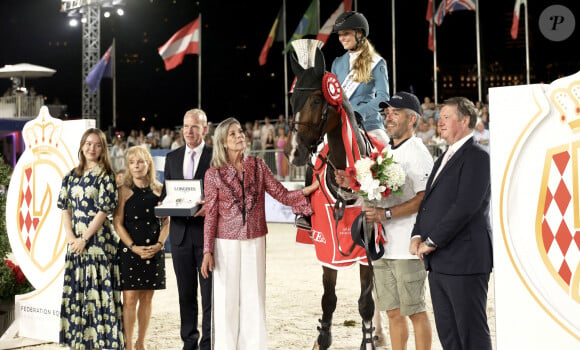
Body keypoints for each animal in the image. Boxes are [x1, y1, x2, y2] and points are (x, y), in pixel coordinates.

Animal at [288, 39, 378, 348]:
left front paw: (368, 339)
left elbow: (366, 303)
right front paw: (322, 339)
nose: (295, 153)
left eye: (317, 100)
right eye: (292, 101)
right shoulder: (327, 247)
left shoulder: (367, 248)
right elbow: (328, 299)